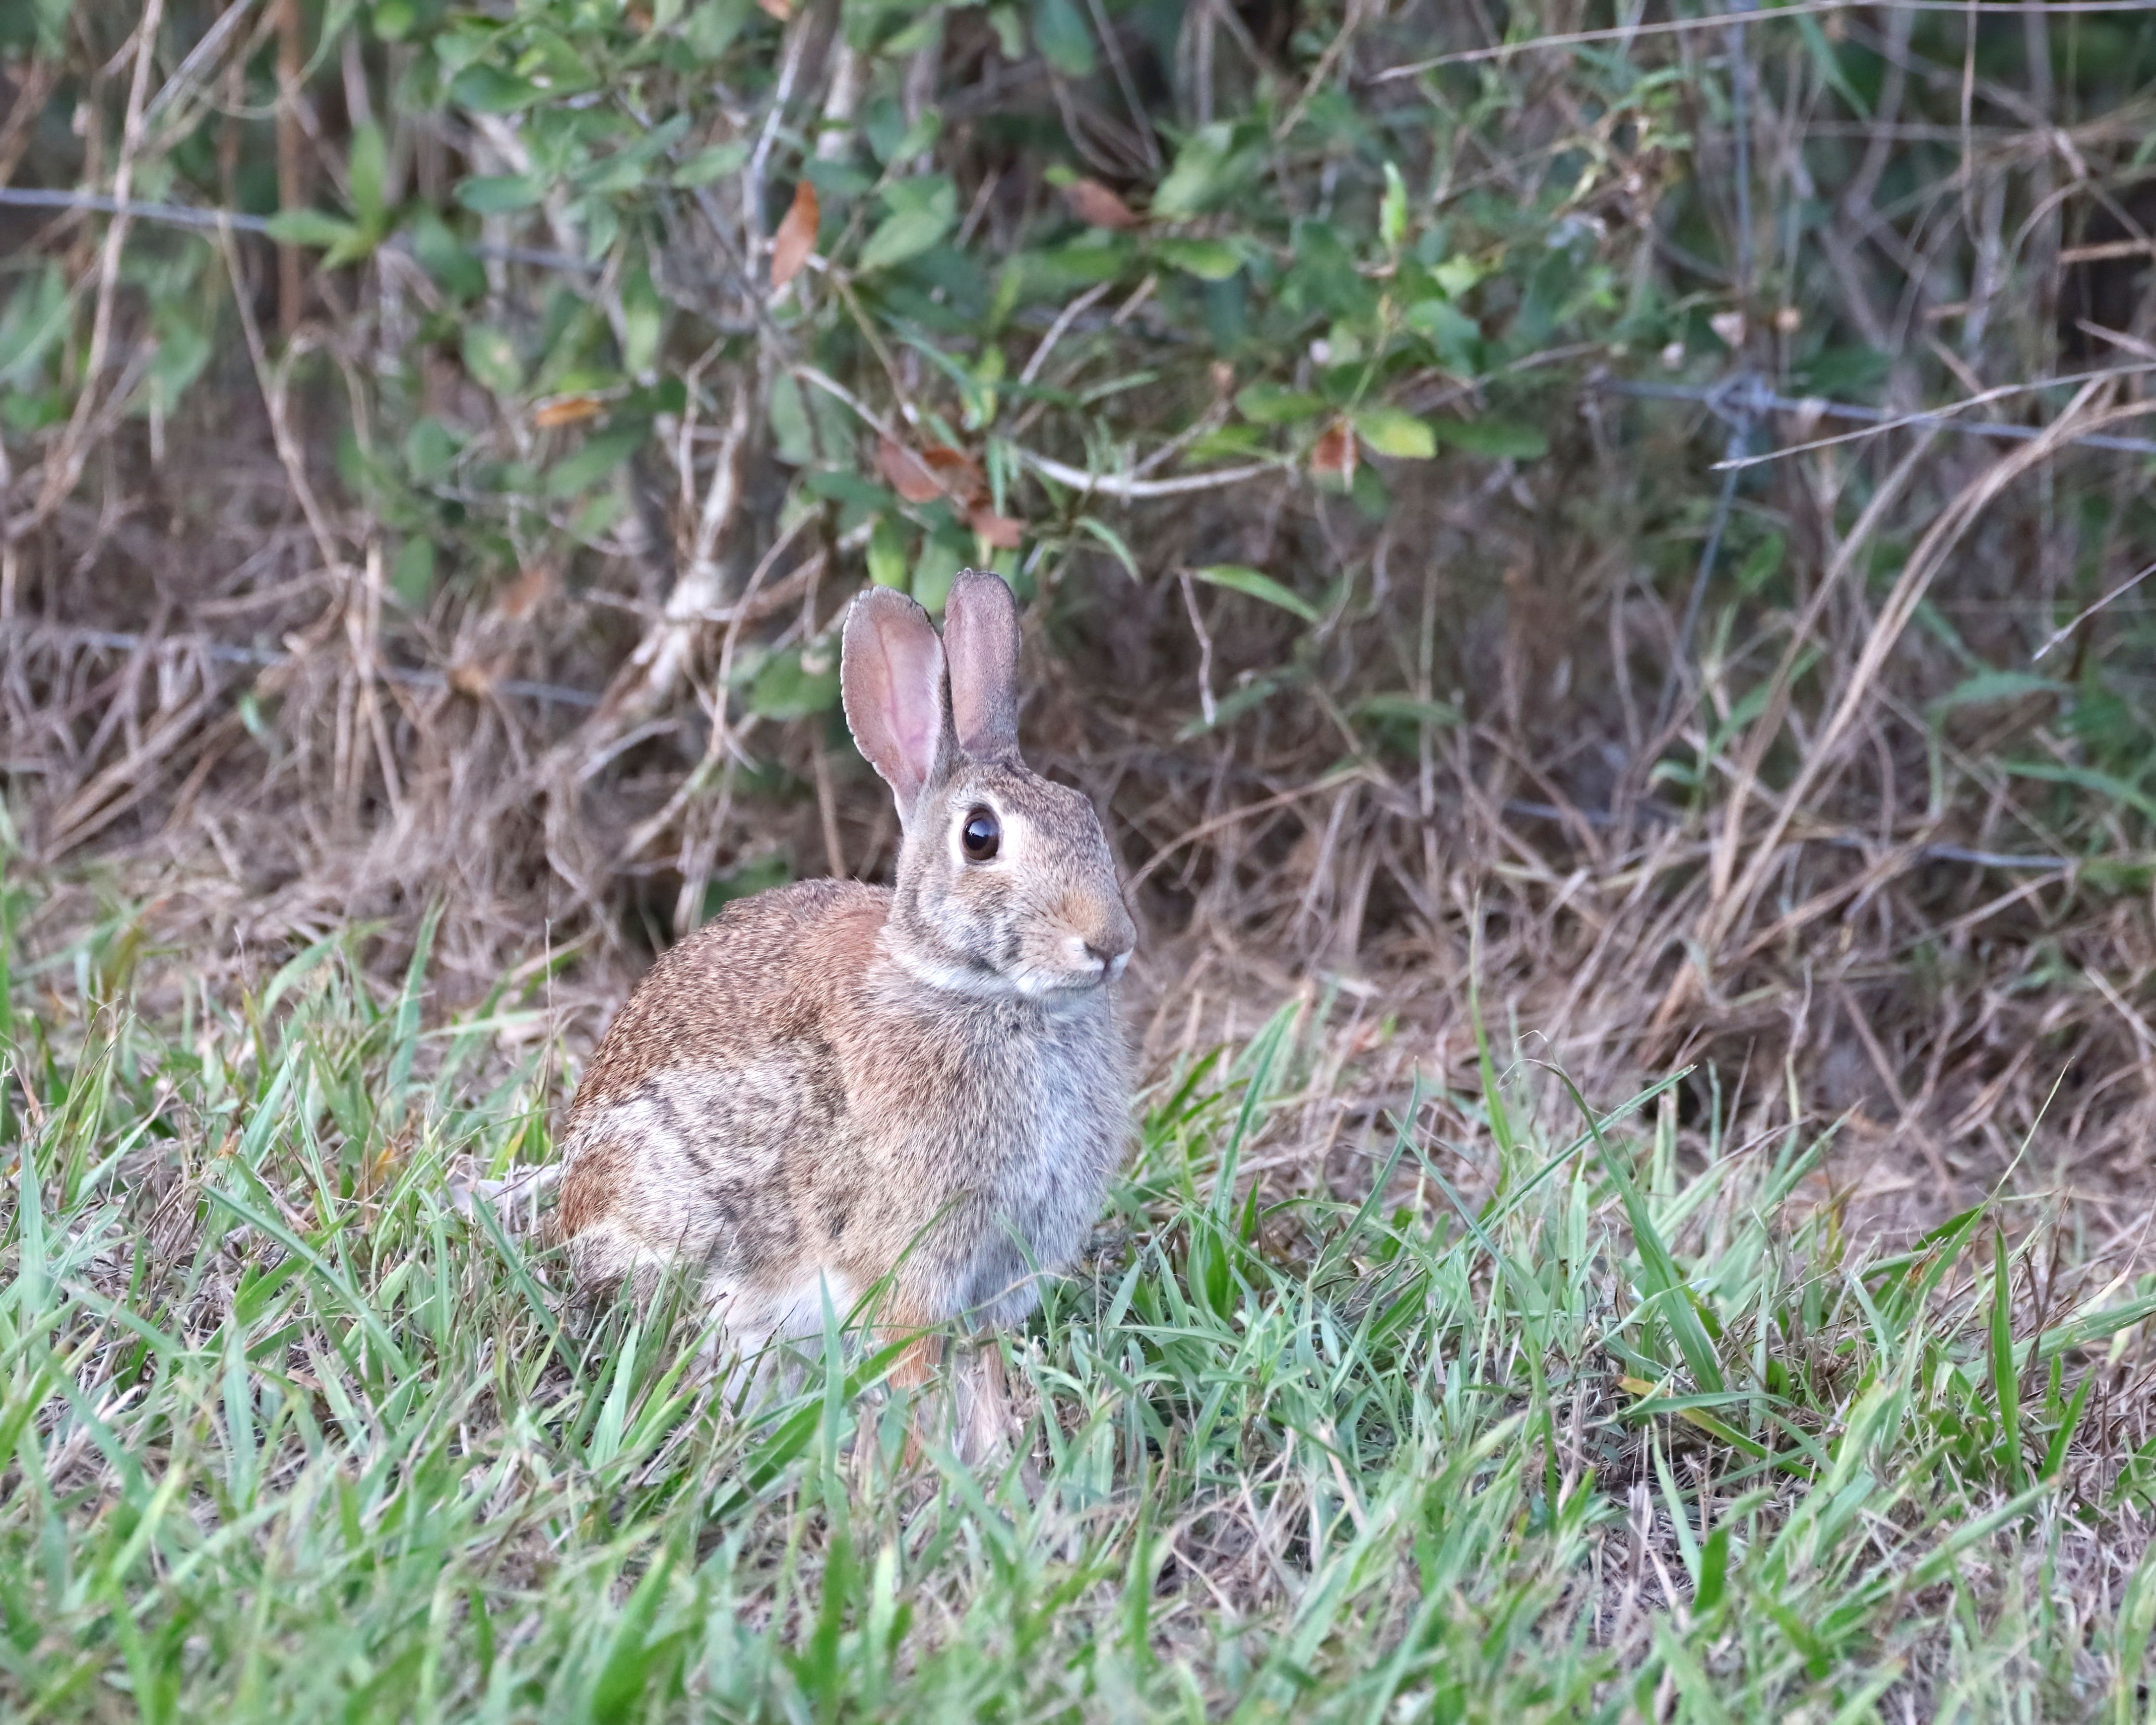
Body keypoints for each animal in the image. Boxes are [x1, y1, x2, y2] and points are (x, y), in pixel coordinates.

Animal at [554, 569, 1136, 1461]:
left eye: (1086, 815)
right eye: (979, 837)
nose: (1108, 942)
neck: (987, 994)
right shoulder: (912, 1256)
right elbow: (913, 1357)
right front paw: (933, 1465)